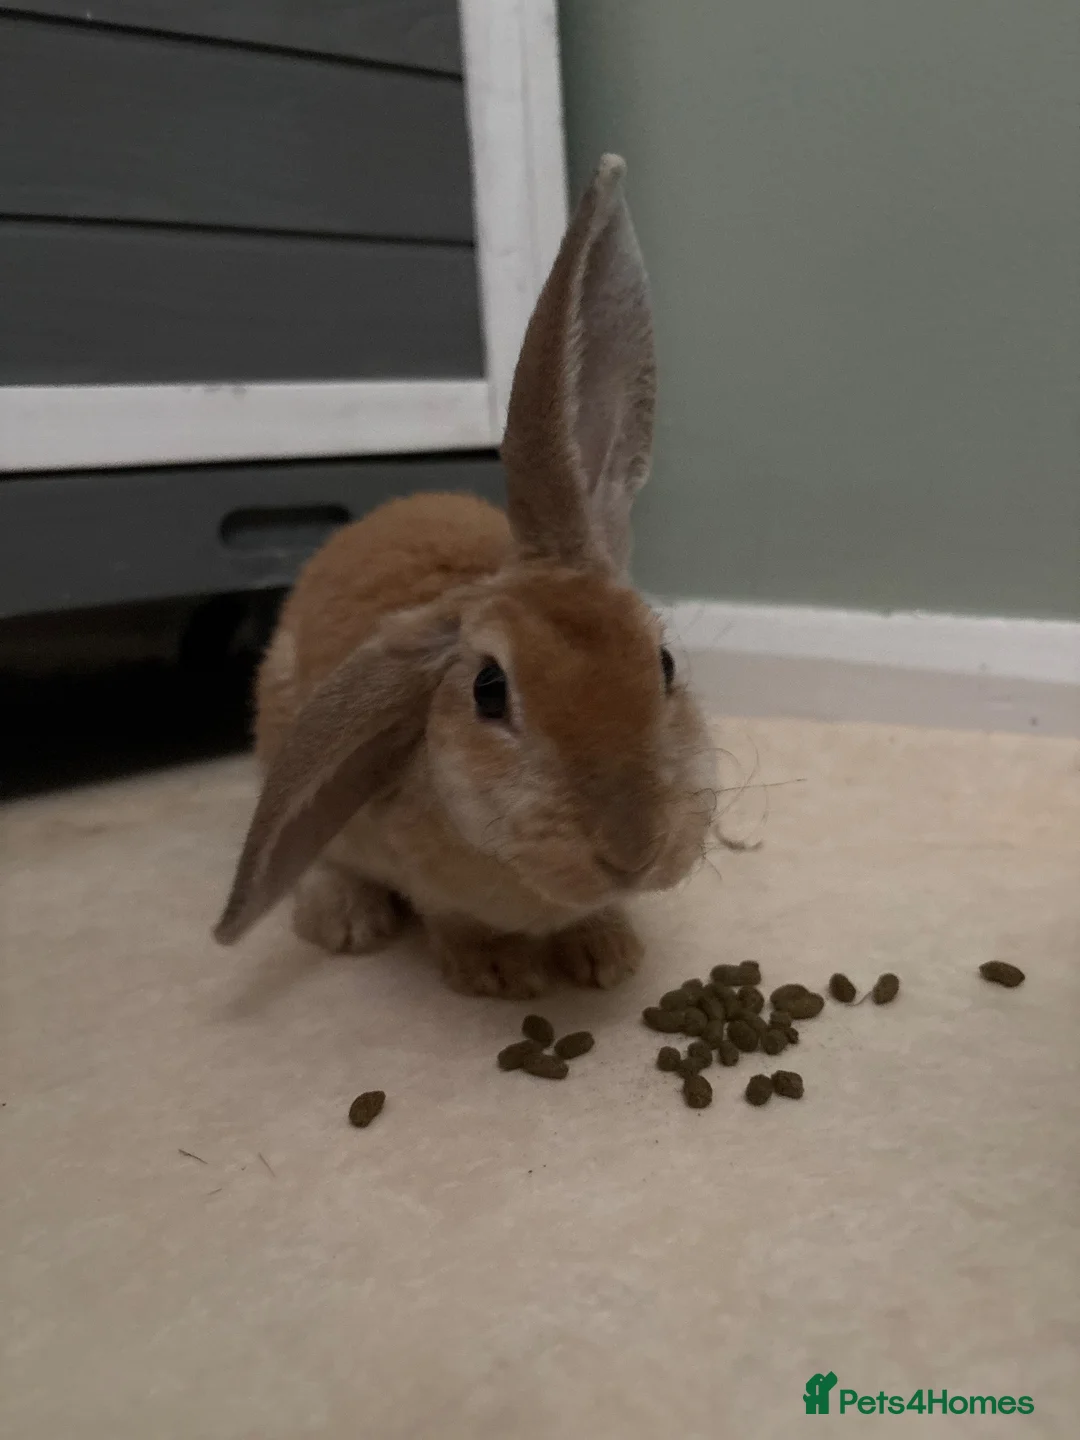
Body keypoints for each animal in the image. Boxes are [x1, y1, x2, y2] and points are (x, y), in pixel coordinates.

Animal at [214, 155, 716, 999]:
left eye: (665, 663)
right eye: (488, 691)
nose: (633, 849)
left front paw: (607, 956)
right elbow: (452, 919)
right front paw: (497, 973)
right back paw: (346, 921)